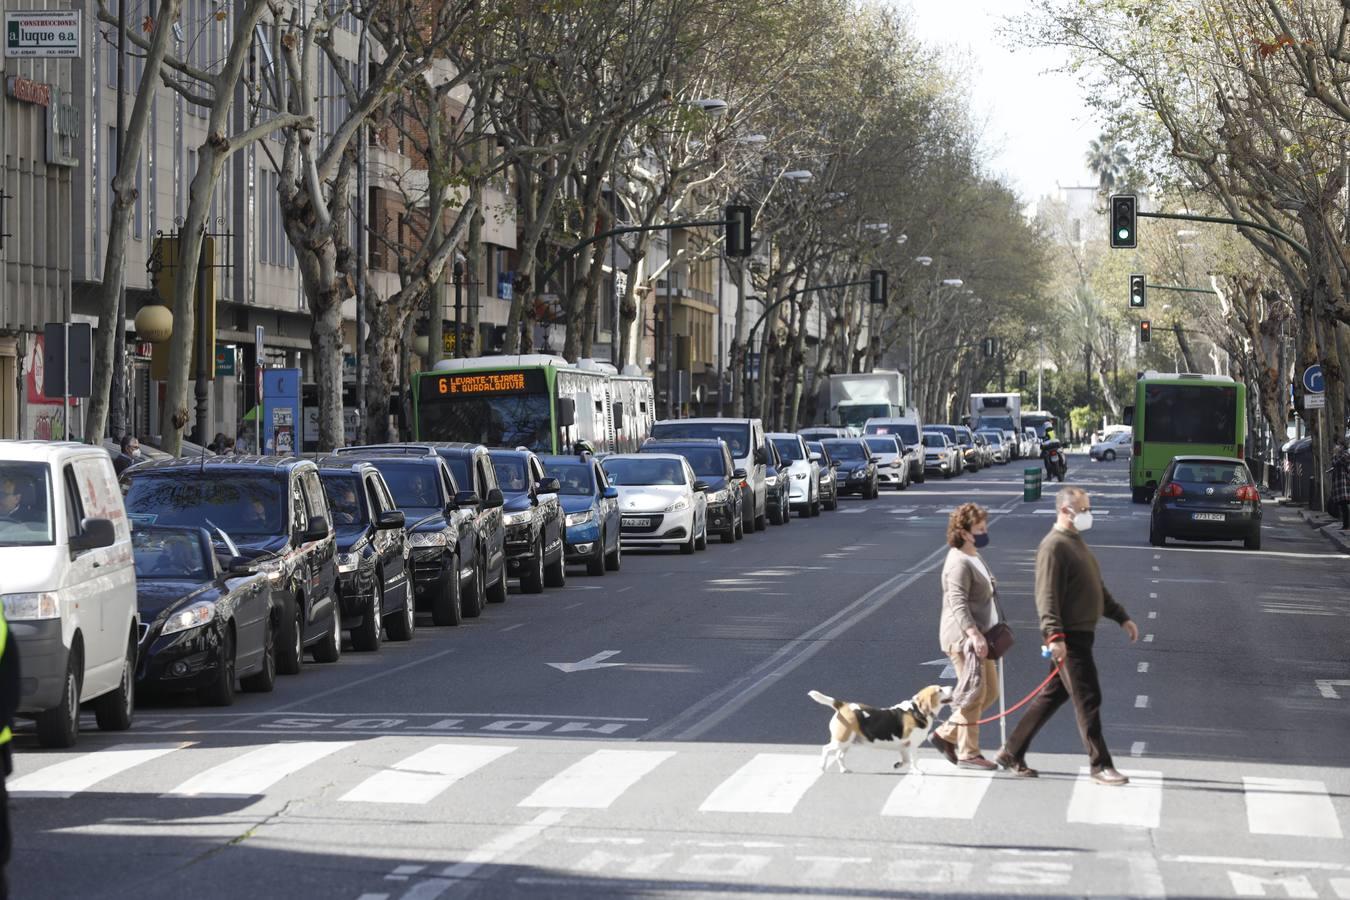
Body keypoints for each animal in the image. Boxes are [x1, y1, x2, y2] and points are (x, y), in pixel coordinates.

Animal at [804, 682, 955, 777]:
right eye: (939, 690)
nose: (952, 687)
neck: (917, 710)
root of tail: (843, 705)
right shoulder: (912, 746)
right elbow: (914, 760)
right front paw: (917, 771)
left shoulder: (904, 747)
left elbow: (906, 760)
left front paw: (898, 765)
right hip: (841, 740)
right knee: (826, 749)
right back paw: (822, 767)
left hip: (847, 742)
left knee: (839, 756)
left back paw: (844, 769)